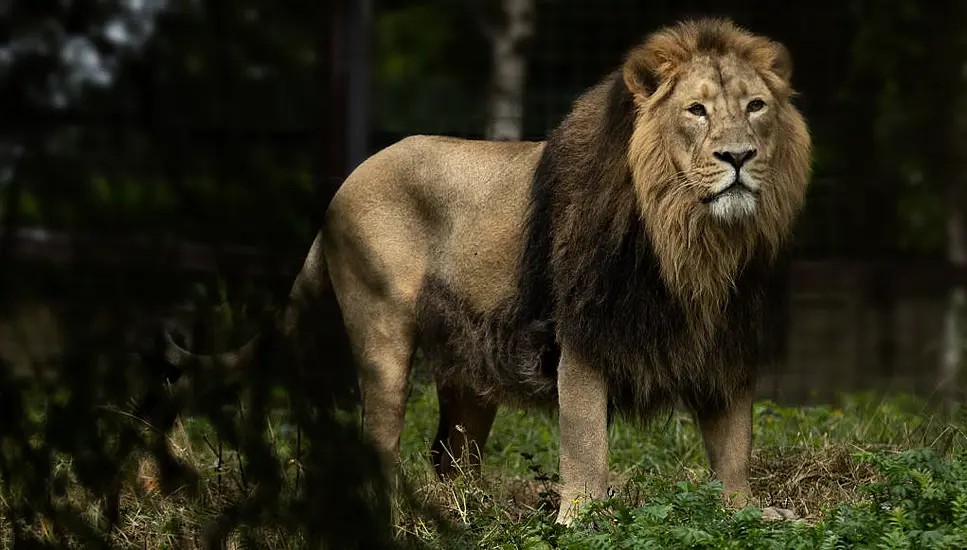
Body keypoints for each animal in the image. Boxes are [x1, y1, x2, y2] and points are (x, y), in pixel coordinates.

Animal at [159, 18, 808, 528]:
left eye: (756, 107)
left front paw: (746, 513)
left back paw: (469, 512)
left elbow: (733, 447)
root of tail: (343, 186)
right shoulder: (581, 337)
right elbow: (586, 443)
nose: (738, 157)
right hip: (382, 333)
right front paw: (582, 519)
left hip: (470, 361)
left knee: (450, 457)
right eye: (696, 110)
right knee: (380, 439)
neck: (691, 241)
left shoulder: (726, 342)